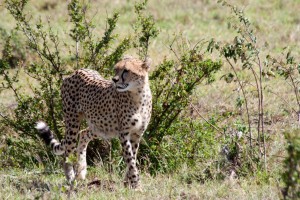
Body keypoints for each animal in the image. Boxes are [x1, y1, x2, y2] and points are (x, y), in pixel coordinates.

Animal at [35, 55, 152, 188]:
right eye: (116, 69)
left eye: (126, 70)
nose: (114, 80)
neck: (138, 95)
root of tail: (76, 71)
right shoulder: (124, 133)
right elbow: (130, 159)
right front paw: (135, 184)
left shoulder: (137, 134)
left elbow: (133, 157)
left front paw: (128, 182)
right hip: (73, 124)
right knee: (67, 153)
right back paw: (71, 179)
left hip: (100, 126)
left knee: (83, 133)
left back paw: (81, 171)